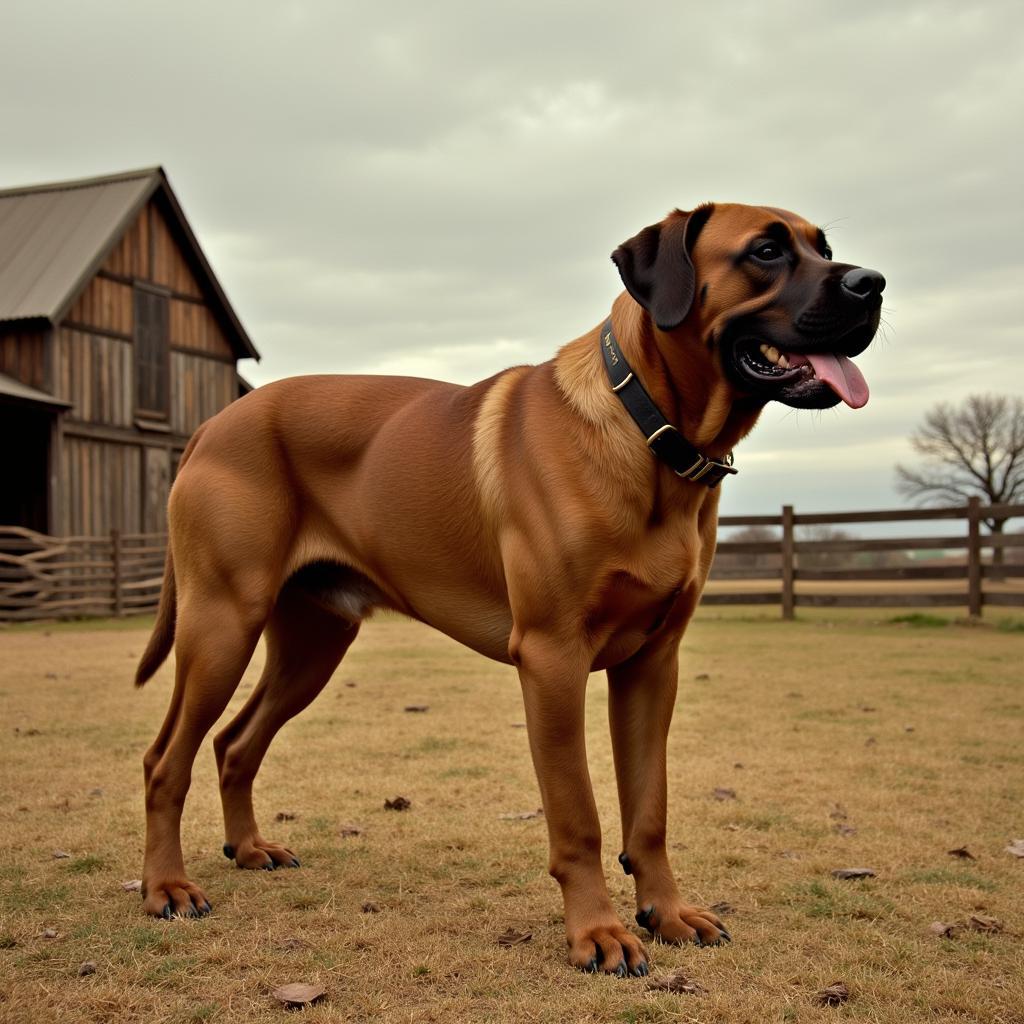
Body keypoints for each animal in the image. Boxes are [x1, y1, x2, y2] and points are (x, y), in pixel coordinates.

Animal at [136, 201, 884, 974]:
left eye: (821, 245)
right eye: (765, 251)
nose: (873, 284)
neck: (647, 430)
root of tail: (211, 426)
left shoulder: (654, 664)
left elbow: (649, 811)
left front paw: (667, 912)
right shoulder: (553, 661)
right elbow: (580, 816)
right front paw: (598, 933)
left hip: (312, 645)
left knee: (234, 744)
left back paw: (250, 848)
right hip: (222, 624)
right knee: (165, 760)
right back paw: (167, 888)